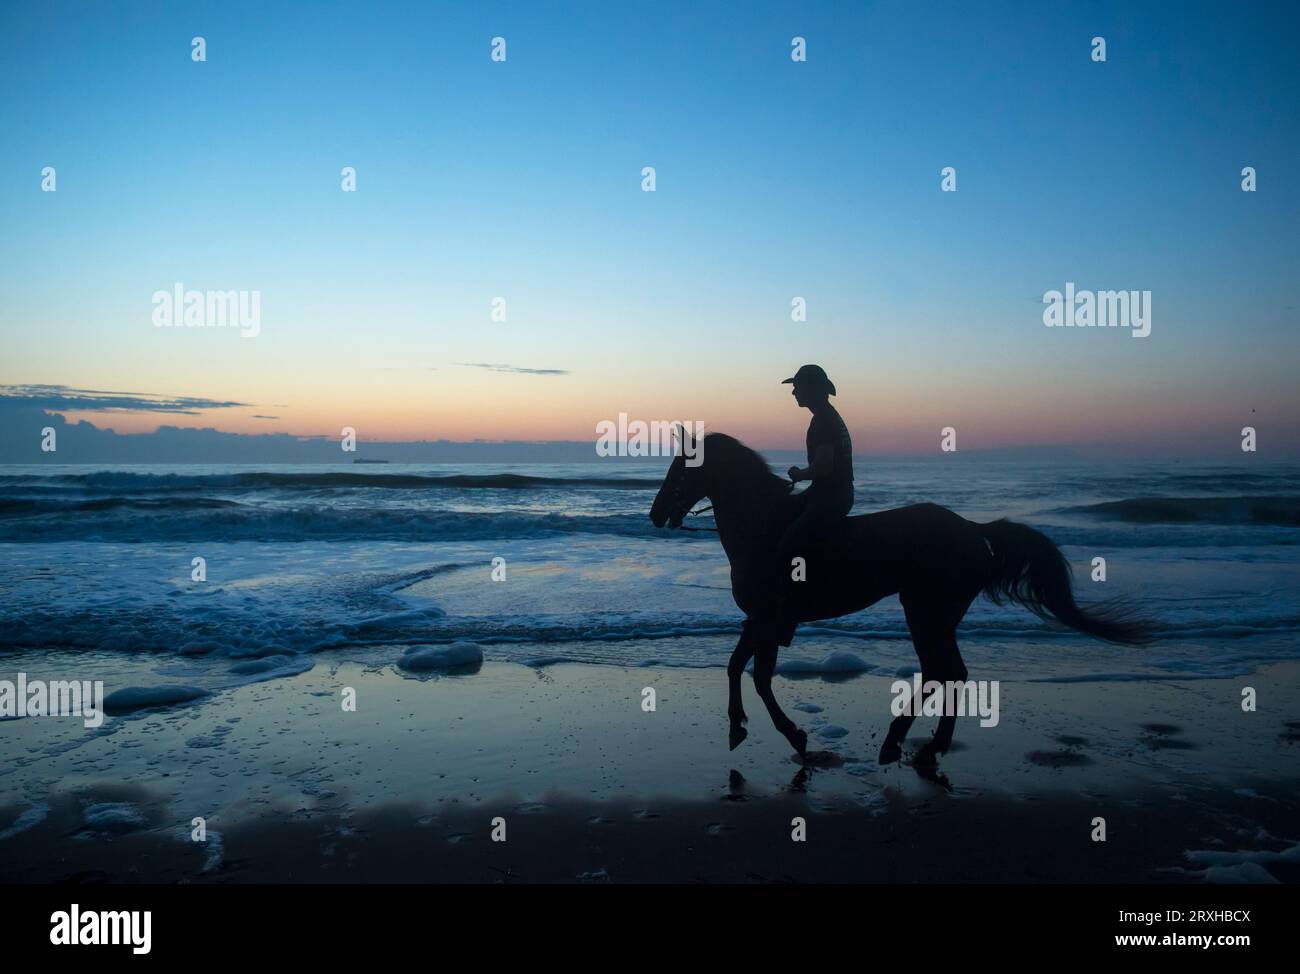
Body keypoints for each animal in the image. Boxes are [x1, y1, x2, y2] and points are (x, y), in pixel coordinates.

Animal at [644, 429, 1154, 764]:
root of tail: (973, 531)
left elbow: (759, 678)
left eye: (680, 466)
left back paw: (905, 742)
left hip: (926, 612)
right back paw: (926, 744)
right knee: (948, 672)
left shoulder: (770, 620)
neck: (763, 526)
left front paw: (790, 736)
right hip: (933, 614)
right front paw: (743, 727)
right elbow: (738, 668)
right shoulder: (758, 621)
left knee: (943, 671)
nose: (655, 513)